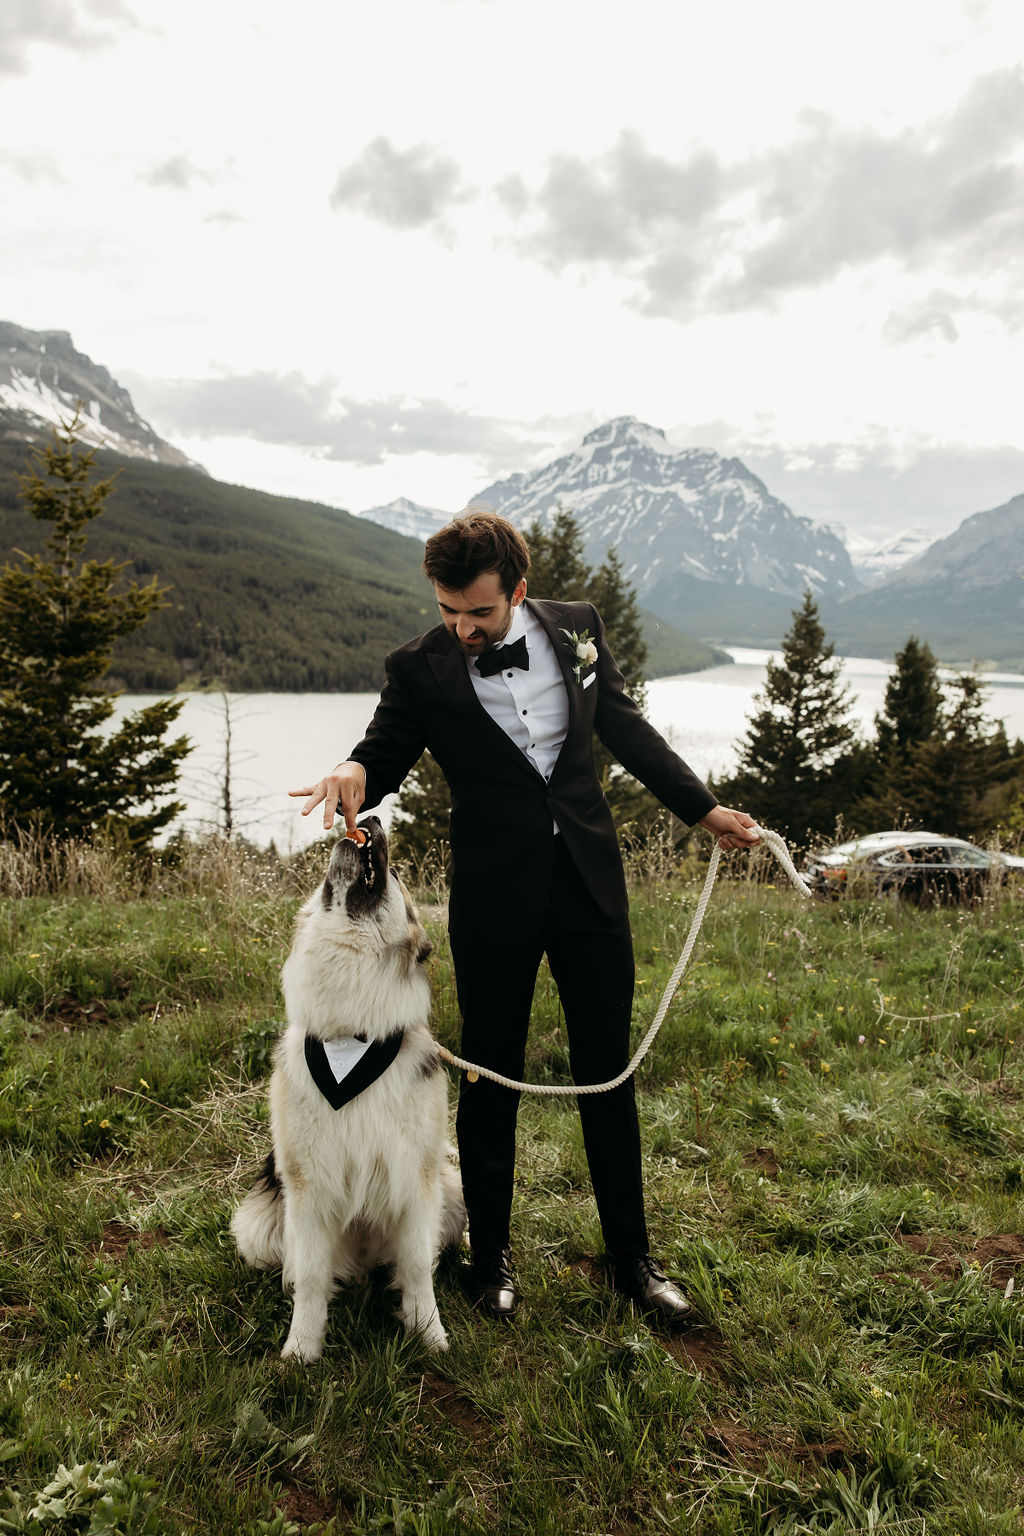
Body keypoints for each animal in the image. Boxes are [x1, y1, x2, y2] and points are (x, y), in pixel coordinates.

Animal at [231, 823, 463, 1363]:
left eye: (394, 876)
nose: (371, 820)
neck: (351, 1036)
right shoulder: (309, 1188)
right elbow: (312, 1277)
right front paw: (302, 1348)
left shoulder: (415, 1181)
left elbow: (417, 1267)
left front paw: (429, 1334)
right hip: (258, 1227)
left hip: (452, 1190)